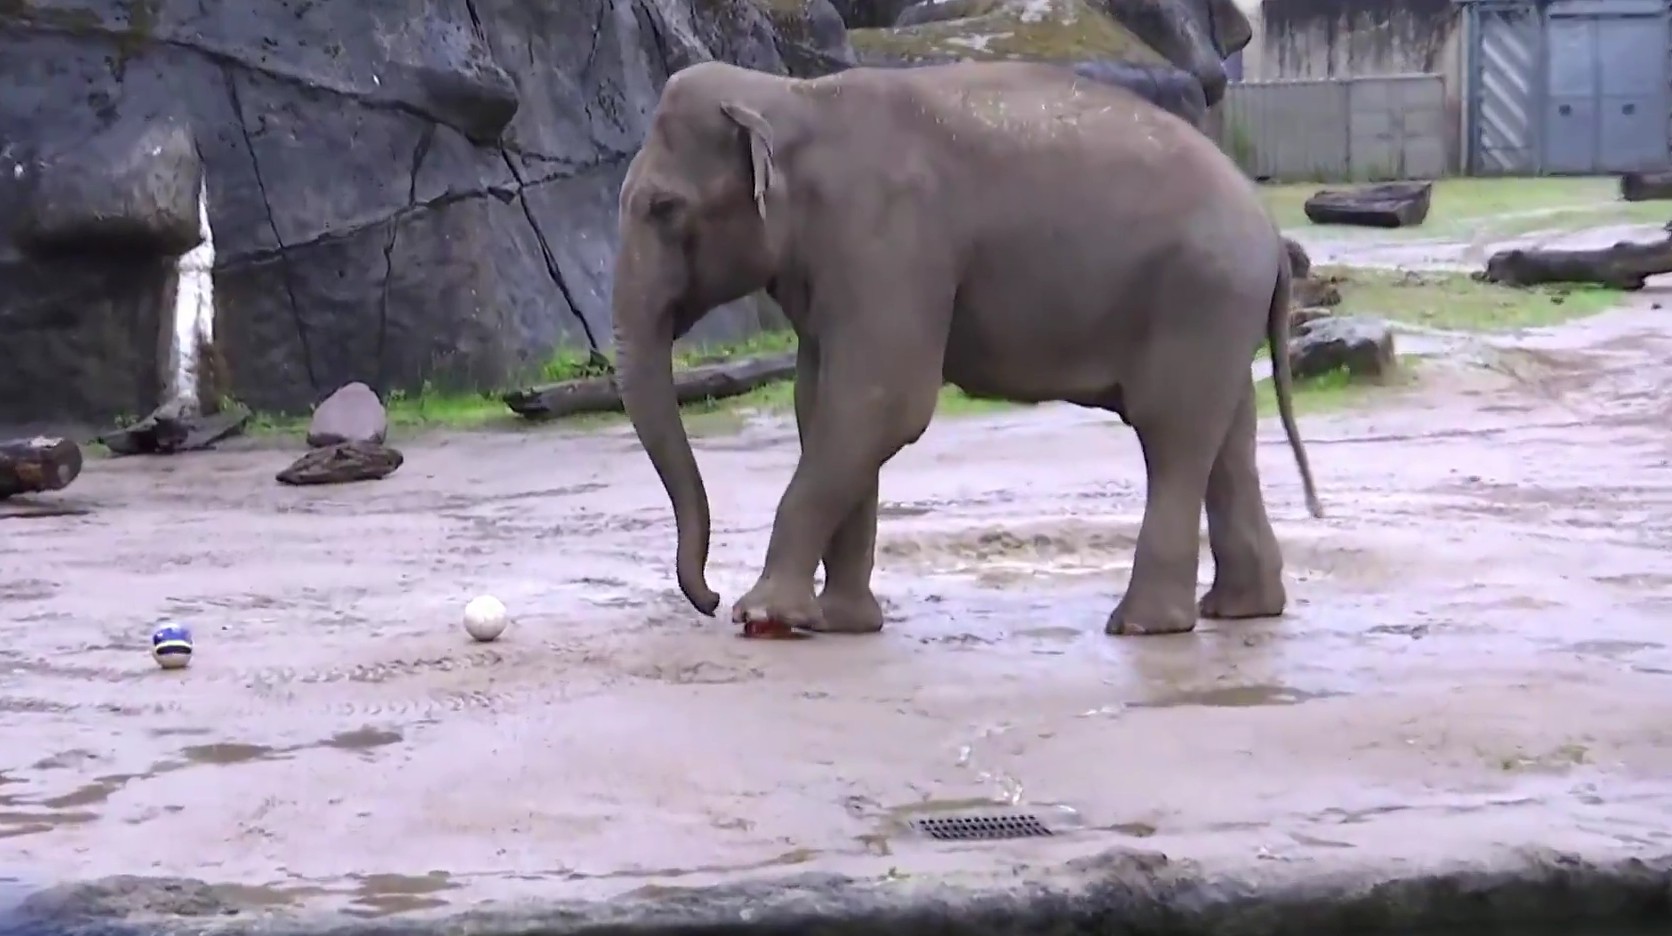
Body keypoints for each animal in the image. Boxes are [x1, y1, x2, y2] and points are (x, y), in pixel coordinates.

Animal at [612, 59, 1323, 638]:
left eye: (664, 207)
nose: (708, 598)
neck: (791, 95)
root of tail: (1270, 231)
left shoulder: (888, 236)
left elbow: (881, 403)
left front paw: (764, 616)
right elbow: (823, 406)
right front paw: (842, 624)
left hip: (1198, 296)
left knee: (1172, 434)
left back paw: (1143, 626)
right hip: (1220, 311)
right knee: (1227, 438)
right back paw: (1239, 611)